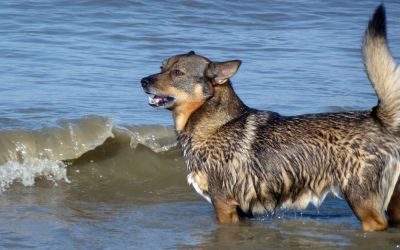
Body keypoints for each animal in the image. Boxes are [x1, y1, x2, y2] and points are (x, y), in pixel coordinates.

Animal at [141, 4, 400, 231]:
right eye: (161, 67)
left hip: (361, 200)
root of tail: (378, 118)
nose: (143, 80)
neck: (214, 124)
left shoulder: (223, 204)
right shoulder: (241, 210)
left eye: (177, 73)